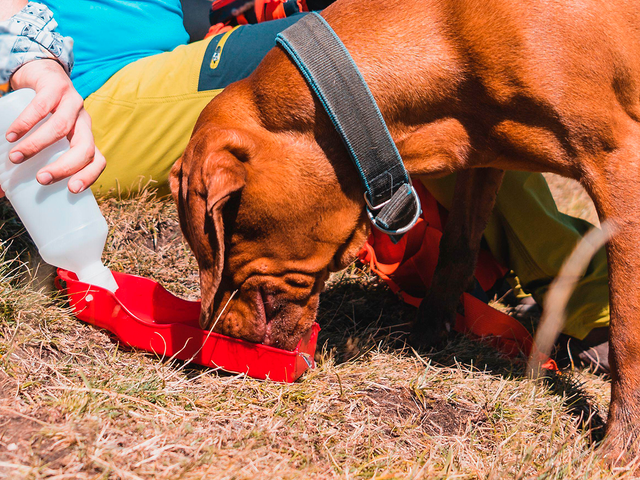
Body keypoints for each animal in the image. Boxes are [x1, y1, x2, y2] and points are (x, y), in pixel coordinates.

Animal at [169, 0, 640, 450]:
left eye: (219, 229)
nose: (216, 333)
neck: (450, 33)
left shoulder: (621, 165)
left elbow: (627, 328)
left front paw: (622, 441)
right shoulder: (481, 156)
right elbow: (456, 251)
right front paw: (427, 336)